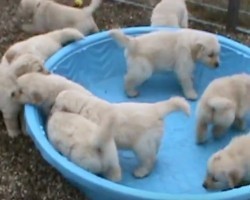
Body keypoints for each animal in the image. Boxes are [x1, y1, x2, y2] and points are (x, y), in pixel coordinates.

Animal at [52, 90, 189, 177]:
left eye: (55, 103)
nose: (51, 110)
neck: (84, 104)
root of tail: (156, 109)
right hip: (153, 139)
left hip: (142, 144)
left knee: (148, 160)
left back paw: (140, 172)